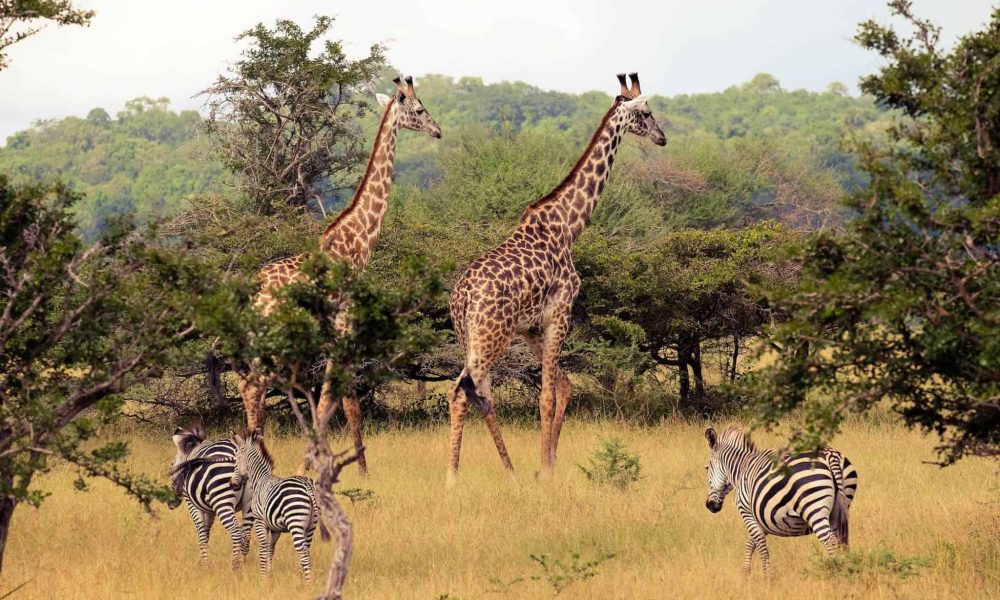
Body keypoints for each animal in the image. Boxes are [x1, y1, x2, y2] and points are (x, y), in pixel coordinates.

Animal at [170, 424, 252, 568]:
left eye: (172, 464)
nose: (170, 504)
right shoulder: (209, 510)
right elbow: (206, 532)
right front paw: (203, 560)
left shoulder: (193, 505)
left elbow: (201, 532)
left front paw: (204, 564)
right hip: (249, 503)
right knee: (246, 534)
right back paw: (244, 565)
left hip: (222, 502)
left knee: (236, 531)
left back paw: (234, 566)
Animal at [229, 428, 328, 580]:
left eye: (236, 460)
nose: (232, 484)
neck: (260, 479)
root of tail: (307, 486)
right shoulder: (275, 528)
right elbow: (271, 549)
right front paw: (269, 574)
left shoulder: (260, 521)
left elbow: (263, 548)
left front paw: (262, 577)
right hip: (312, 523)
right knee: (306, 549)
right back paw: (301, 578)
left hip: (295, 521)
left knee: (303, 551)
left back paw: (307, 581)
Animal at [238, 76, 442, 478]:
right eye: (419, 109)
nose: (438, 131)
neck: (360, 236)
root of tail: (255, 293)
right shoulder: (347, 322)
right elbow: (343, 401)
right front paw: (347, 467)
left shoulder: (335, 332)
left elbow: (334, 401)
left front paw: (330, 461)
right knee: (253, 388)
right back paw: (261, 463)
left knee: (247, 387)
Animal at [446, 72, 664, 480]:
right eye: (646, 112)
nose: (662, 137)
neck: (569, 225)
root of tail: (462, 297)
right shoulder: (560, 309)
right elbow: (547, 394)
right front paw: (545, 470)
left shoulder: (532, 326)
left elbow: (563, 386)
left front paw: (546, 463)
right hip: (490, 336)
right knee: (461, 390)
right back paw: (454, 477)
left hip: (470, 336)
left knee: (478, 391)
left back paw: (509, 470)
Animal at [704, 424, 860, 576]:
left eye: (706, 468)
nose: (710, 506)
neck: (741, 469)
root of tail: (830, 455)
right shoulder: (763, 518)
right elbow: (751, 543)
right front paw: (746, 573)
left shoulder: (747, 513)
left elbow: (761, 547)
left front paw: (767, 578)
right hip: (839, 508)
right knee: (841, 541)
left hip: (813, 508)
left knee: (830, 541)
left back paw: (835, 574)